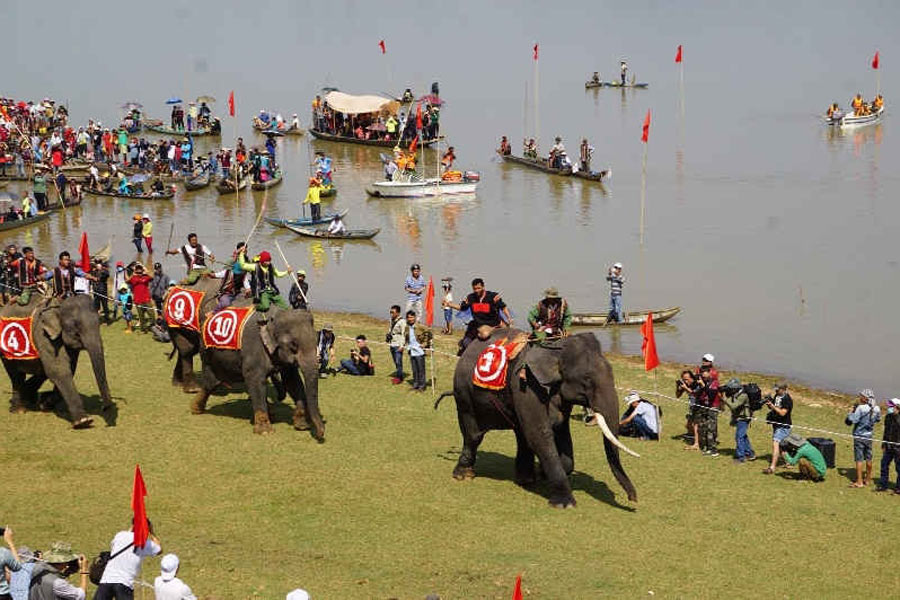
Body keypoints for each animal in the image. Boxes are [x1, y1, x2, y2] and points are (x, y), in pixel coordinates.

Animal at [1, 292, 114, 426]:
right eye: (76, 328)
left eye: (99, 323)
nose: (105, 407)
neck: (59, 305)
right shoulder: (43, 334)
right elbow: (59, 371)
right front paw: (83, 421)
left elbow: (69, 369)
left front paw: (45, 404)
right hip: (6, 351)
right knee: (16, 375)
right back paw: (19, 409)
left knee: (41, 372)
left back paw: (31, 398)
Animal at [192, 302, 326, 438]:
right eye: (293, 345)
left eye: (317, 341)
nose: (320, 434)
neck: (274, 317)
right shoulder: (254, 348)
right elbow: (255, 380)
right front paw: (265, 431)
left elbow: (292, 381)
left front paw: (302, 426)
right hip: (208, 355)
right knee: (211, 383)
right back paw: (196, 409)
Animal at [442, 328, 640, 506]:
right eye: (587, 380)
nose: (633, 499)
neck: (555, 348)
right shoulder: (526, 385)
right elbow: (540, 434)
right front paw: (564, 503)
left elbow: (560, 430)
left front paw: (543, 473)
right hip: (464, 395)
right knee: (474, 434)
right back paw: (464, 475)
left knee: (521, 434)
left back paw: (526, 479)